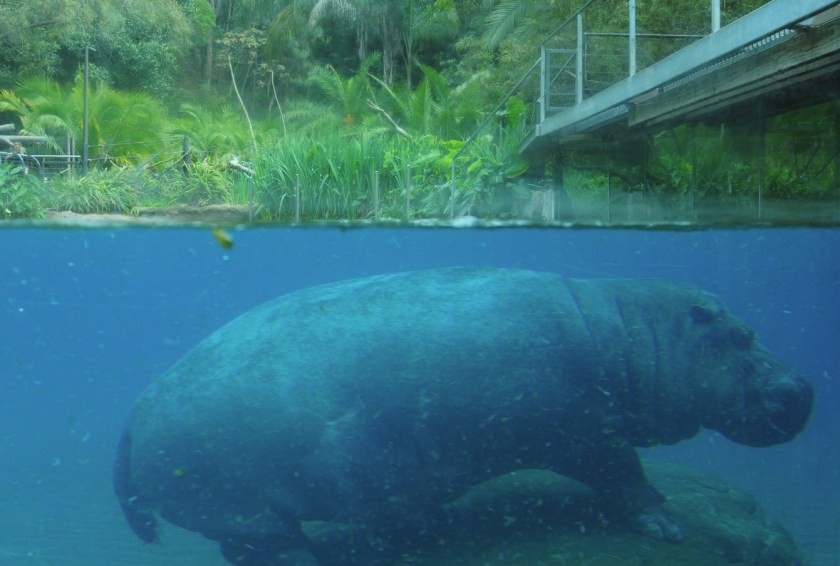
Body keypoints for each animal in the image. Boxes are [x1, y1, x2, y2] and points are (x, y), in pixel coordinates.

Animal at [114, 267, 813, 565]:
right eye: (744, 336)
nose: (805, 387)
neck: (632, 335)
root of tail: (130, 418)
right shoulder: (590, 432)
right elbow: (625, 478)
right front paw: (668, 525)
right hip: (250, 509)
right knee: (265, 546)